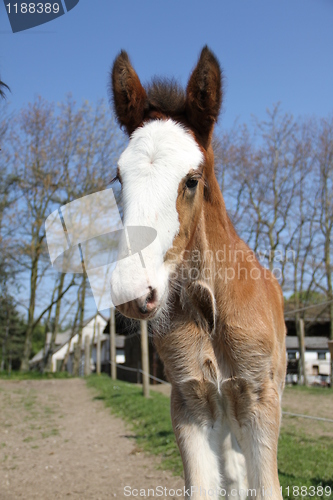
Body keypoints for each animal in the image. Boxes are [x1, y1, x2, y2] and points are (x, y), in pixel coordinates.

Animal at [109, 47, 286, 500]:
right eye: (118, 177)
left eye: (191, 180)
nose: (132, 291)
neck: (210, 310)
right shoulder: (190, 401)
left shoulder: (259, 399)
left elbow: (266, 487)